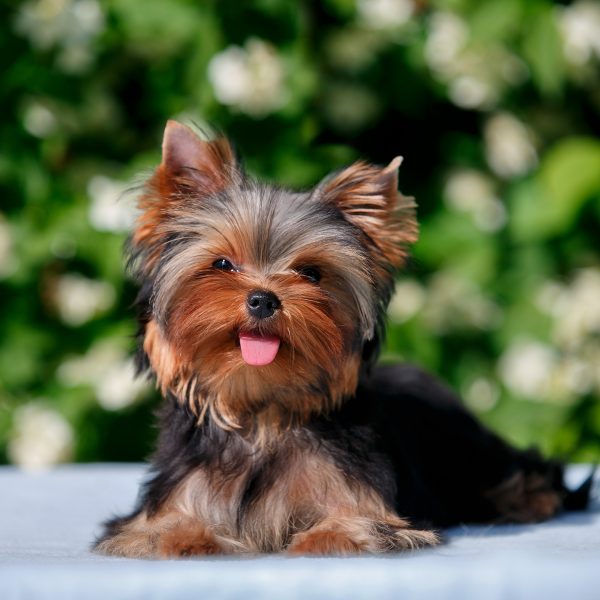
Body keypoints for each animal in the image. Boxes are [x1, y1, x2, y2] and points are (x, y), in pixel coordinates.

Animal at [95, 120, 592, 556]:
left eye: (311, 273)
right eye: (222, 264)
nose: (262, 299)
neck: (261, 413)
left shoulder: (367, 501)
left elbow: (357, 524)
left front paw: (325, 537)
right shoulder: (172, 495)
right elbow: (157, 529)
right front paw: (184, 538)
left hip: (471, 450)